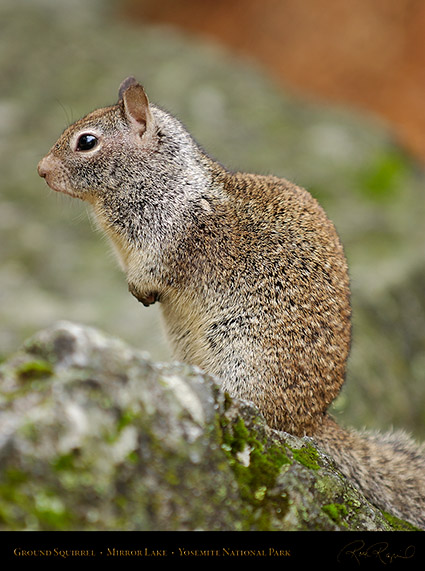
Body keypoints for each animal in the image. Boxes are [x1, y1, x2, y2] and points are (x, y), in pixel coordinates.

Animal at [38, 78, 422, 528]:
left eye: (86, 142)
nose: (41, 169)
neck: (161, 180)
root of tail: (311, 422)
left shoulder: (165, 245)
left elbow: (152, 273)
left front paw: (141, 292)